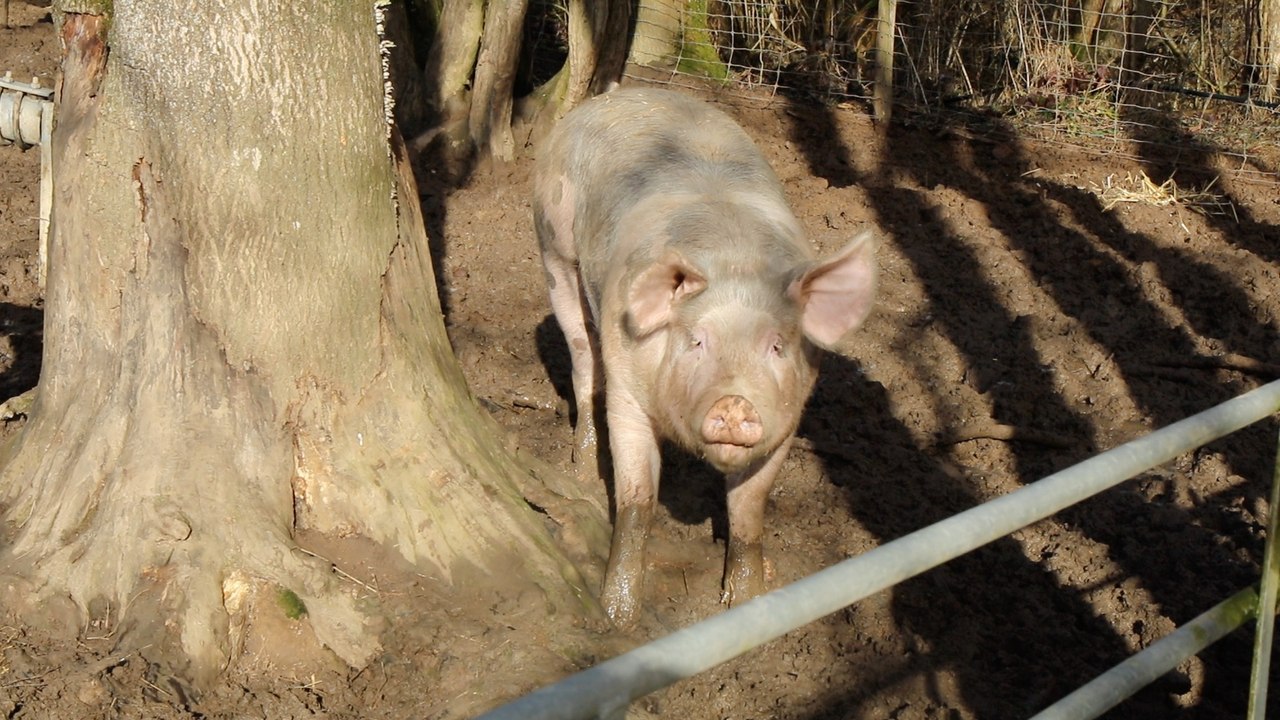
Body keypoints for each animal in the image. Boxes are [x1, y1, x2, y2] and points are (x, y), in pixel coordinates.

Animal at [533, 86, 876, 626]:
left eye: (776, 345)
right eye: (696, 340)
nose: (735, 403)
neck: (735, 262)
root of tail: (617, 96)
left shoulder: (788, 420)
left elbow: (749, 510)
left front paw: (749, 606)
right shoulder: (630, 392)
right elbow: (637, 502)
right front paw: (617, 619)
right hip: (554, 243)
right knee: (583, 357)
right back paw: (583, 472)